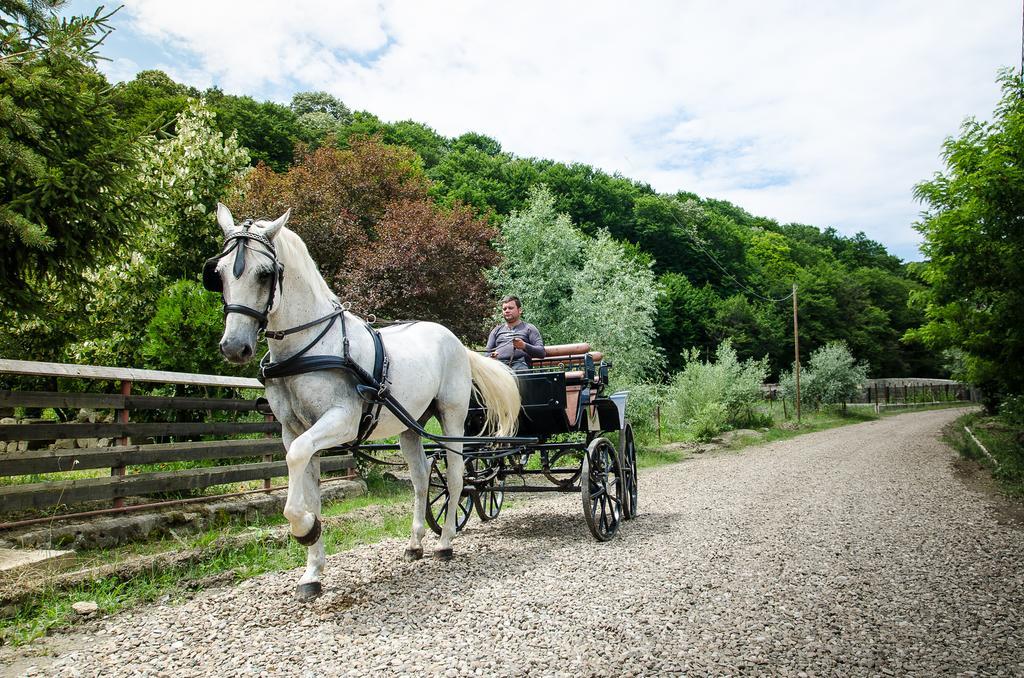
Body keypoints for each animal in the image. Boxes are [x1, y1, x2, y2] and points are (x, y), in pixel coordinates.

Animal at [204, 202, 520, 602]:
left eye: (264, 274)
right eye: (218, 274)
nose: (234, 347)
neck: (310, 345)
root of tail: (456, 341)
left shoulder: (341, 421)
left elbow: (298, 464)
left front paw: (304, 527)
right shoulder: (293, 431)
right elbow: (306, 480)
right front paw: (312, 570)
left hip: (452, 418)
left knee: (455, 477)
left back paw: (445, 542)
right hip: (410, 426)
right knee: (421, 478)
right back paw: (415, 543)